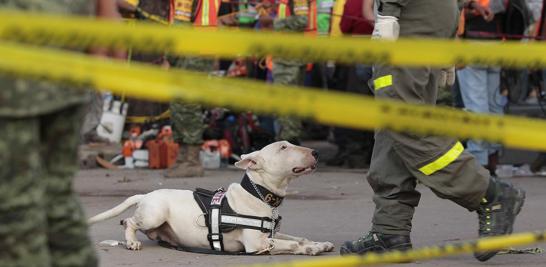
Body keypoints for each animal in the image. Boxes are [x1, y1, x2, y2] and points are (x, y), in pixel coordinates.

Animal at [87, 141, 334, 256]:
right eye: (283, 147)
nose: (316, 153)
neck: (259, 194)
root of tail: (146, 194)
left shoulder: (271, 233)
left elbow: (297, 237)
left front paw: (319, 244)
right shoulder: (257, 243)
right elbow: (291, 244)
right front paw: (310, 249)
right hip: (154, 214)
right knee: (129, 222)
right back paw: (131, 241)